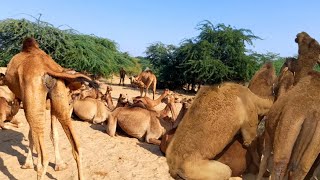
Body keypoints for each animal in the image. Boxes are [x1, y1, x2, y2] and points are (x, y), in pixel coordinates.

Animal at [4, 37, 97, 179]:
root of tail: (47, 68)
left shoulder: (25, 100)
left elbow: (31, 134)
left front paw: (27, 164)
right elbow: (51, 133)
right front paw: (59, 165)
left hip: (34, 101)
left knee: (44, 159)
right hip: (59, 96)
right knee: (77, 147)